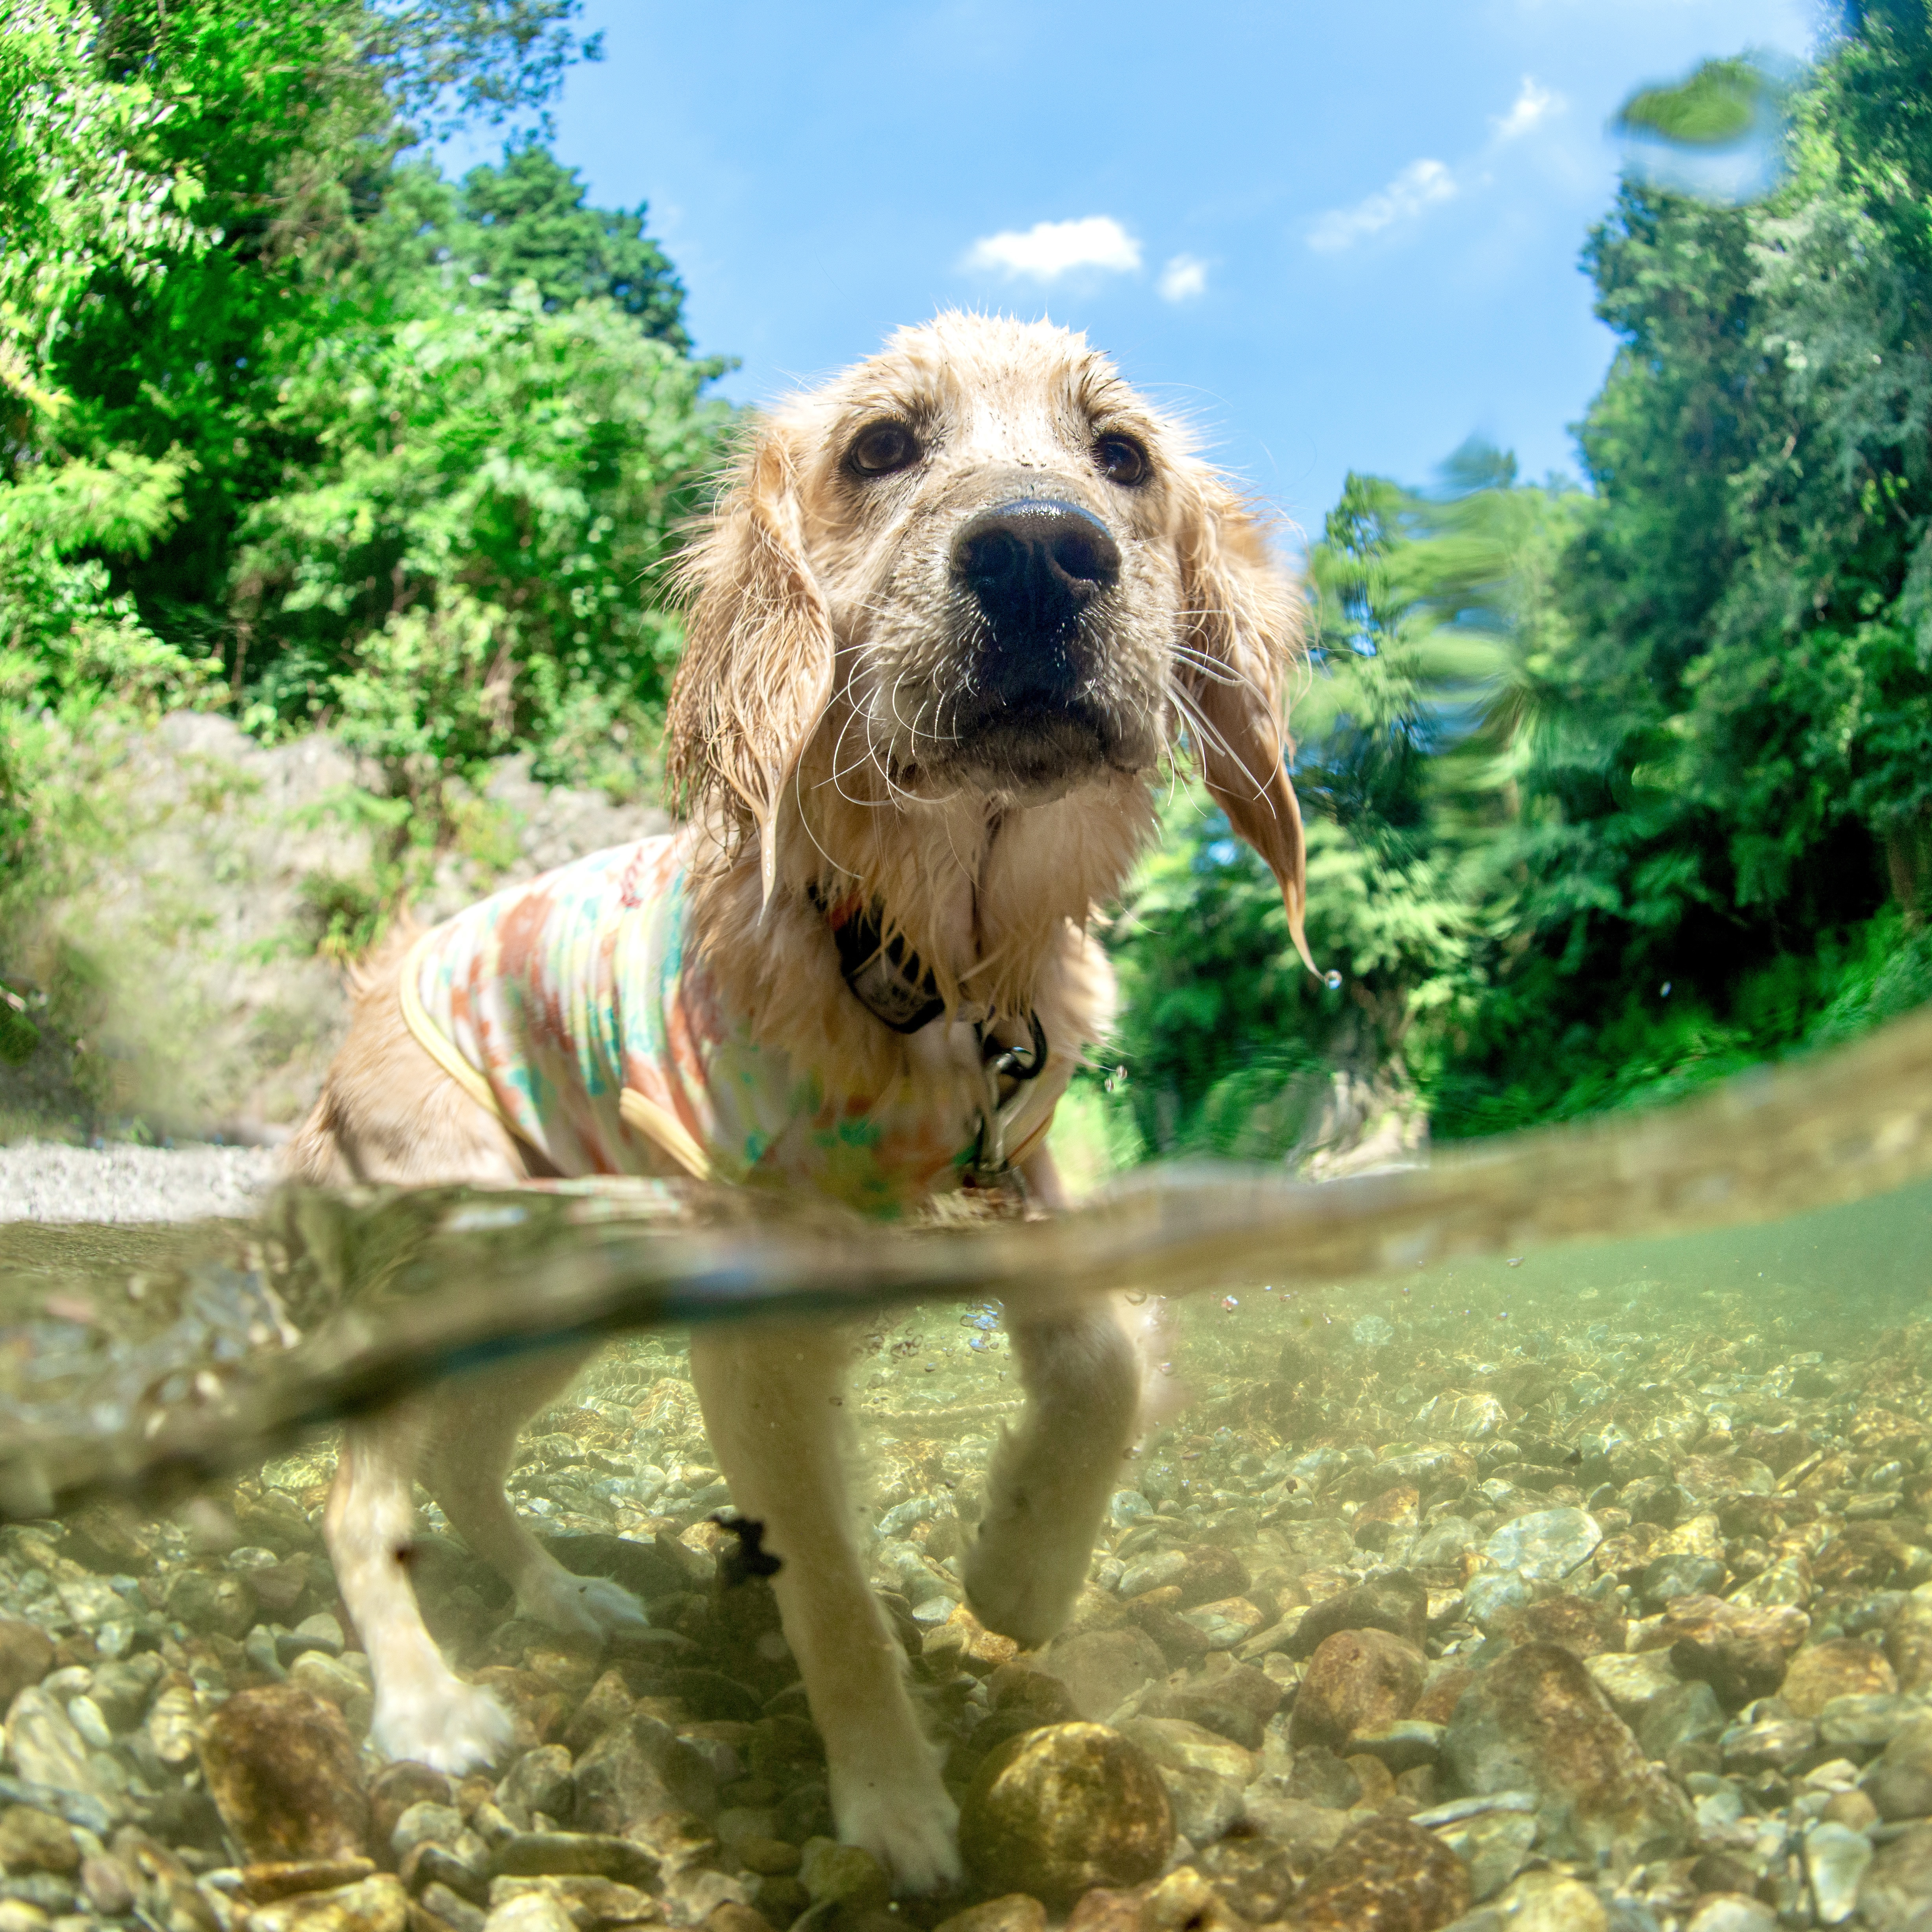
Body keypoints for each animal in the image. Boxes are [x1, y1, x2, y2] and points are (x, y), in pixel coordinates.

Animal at [286, 309, 1314, 1893]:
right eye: (878, 446)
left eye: (1121, 455)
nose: (1040, 551)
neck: (920, 959)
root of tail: (356, 1014)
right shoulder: (756, 1332)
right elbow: (825, 1583)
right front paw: (893, 1804)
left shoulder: (1022, 1182)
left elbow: (1104, 1369)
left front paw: (1017, 1566)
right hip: (462, 1255)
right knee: (362, 1499)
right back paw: (429, 1703)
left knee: (462, 1455)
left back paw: (564, 1598)